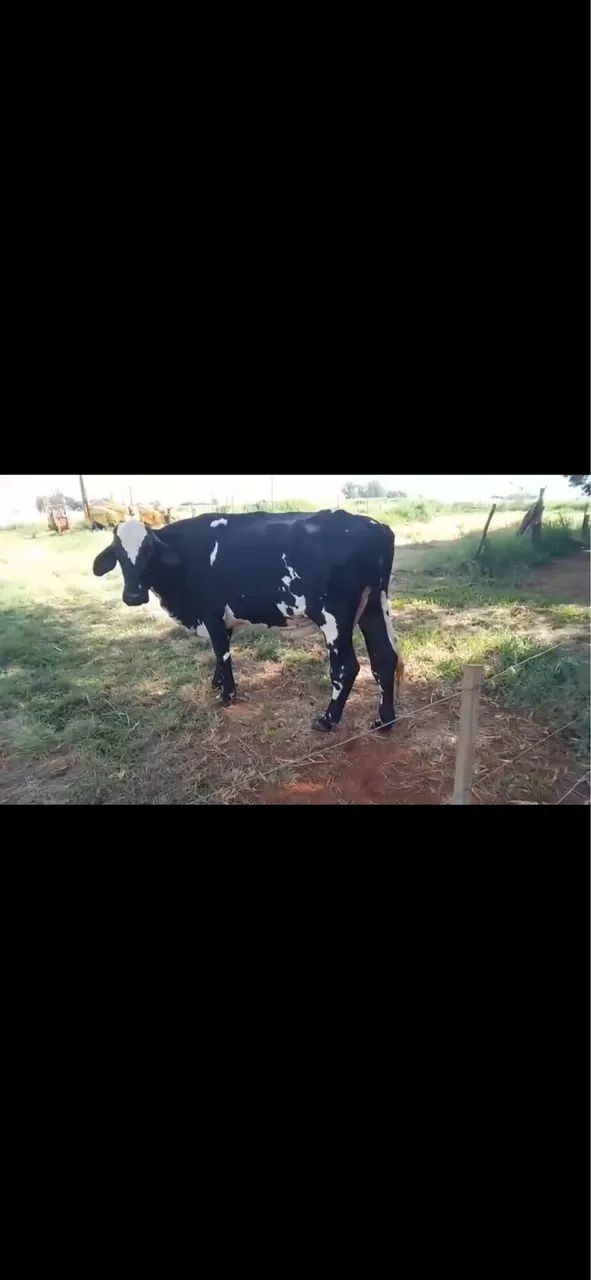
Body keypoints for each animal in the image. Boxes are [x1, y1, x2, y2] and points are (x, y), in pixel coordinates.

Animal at [92, 510, 400, 732]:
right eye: (118, 555)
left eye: (147, 552)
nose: (133, 596)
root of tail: (371, 525)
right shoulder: (221, 619)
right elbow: (220, 654)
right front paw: (216, 683)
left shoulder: (212, 614)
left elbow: (222, 653)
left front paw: (227, 695)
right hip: (373, 604)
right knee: (385, 657)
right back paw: (384, 720)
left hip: (334, 617)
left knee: (346, 668)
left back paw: (327, 720)